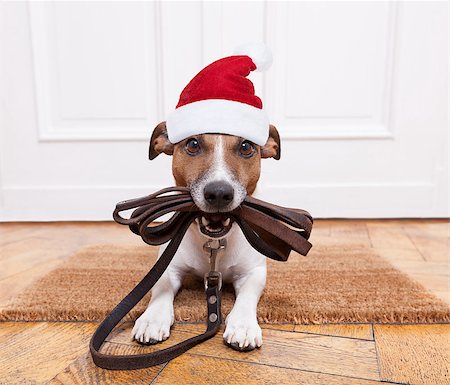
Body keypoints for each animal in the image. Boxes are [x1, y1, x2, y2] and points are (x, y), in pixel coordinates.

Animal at [130, 42, 278, 352]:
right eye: (193, 144)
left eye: (246, 147)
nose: (219, 193)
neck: (213, 244)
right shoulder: (168, 267)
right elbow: (160, 289)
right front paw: (152, 318)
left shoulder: (253, 273)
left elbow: (248, 295)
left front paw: (243, 325)